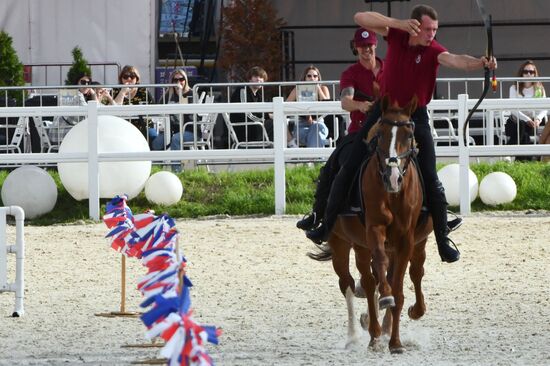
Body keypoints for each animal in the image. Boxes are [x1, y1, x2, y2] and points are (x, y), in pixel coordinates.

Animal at [312, 96, 434, 354]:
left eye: (409, 134)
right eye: (380, 135)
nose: (393, 176)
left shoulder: (407, 240)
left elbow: (400, 285)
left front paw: (396, 342)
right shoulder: (373, 232)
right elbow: (379, 274)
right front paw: (381, 313)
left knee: (397, 276)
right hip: (342, 242)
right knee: (350, 283)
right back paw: (359, 336)